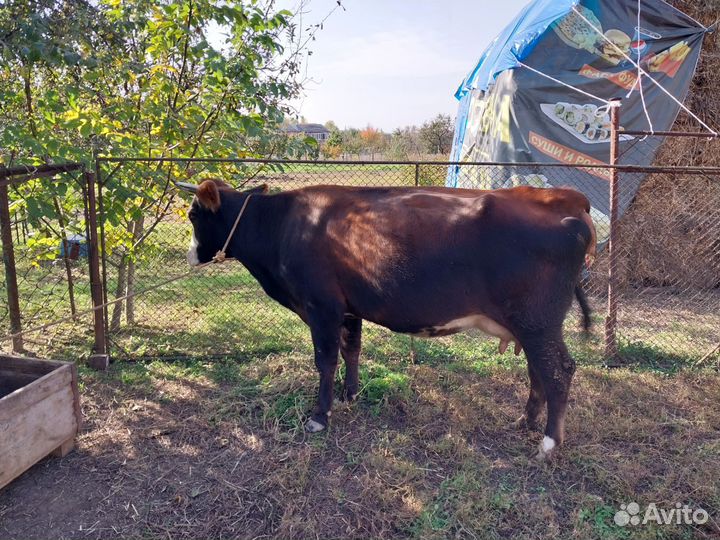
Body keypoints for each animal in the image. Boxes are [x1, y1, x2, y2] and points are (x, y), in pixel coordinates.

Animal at [177, 179, 596, 460]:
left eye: (193, 214)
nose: (191, 256)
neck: (284, 225)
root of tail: (568, 201)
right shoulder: (348, 308)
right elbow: (352, 350)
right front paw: (350, 394)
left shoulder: (321, 306)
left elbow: (325, 361)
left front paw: (320, 416)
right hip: (531, 325)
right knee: (537, 370)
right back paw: (526, 421)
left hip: (538, 322)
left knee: (558, 370)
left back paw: (548, 443)